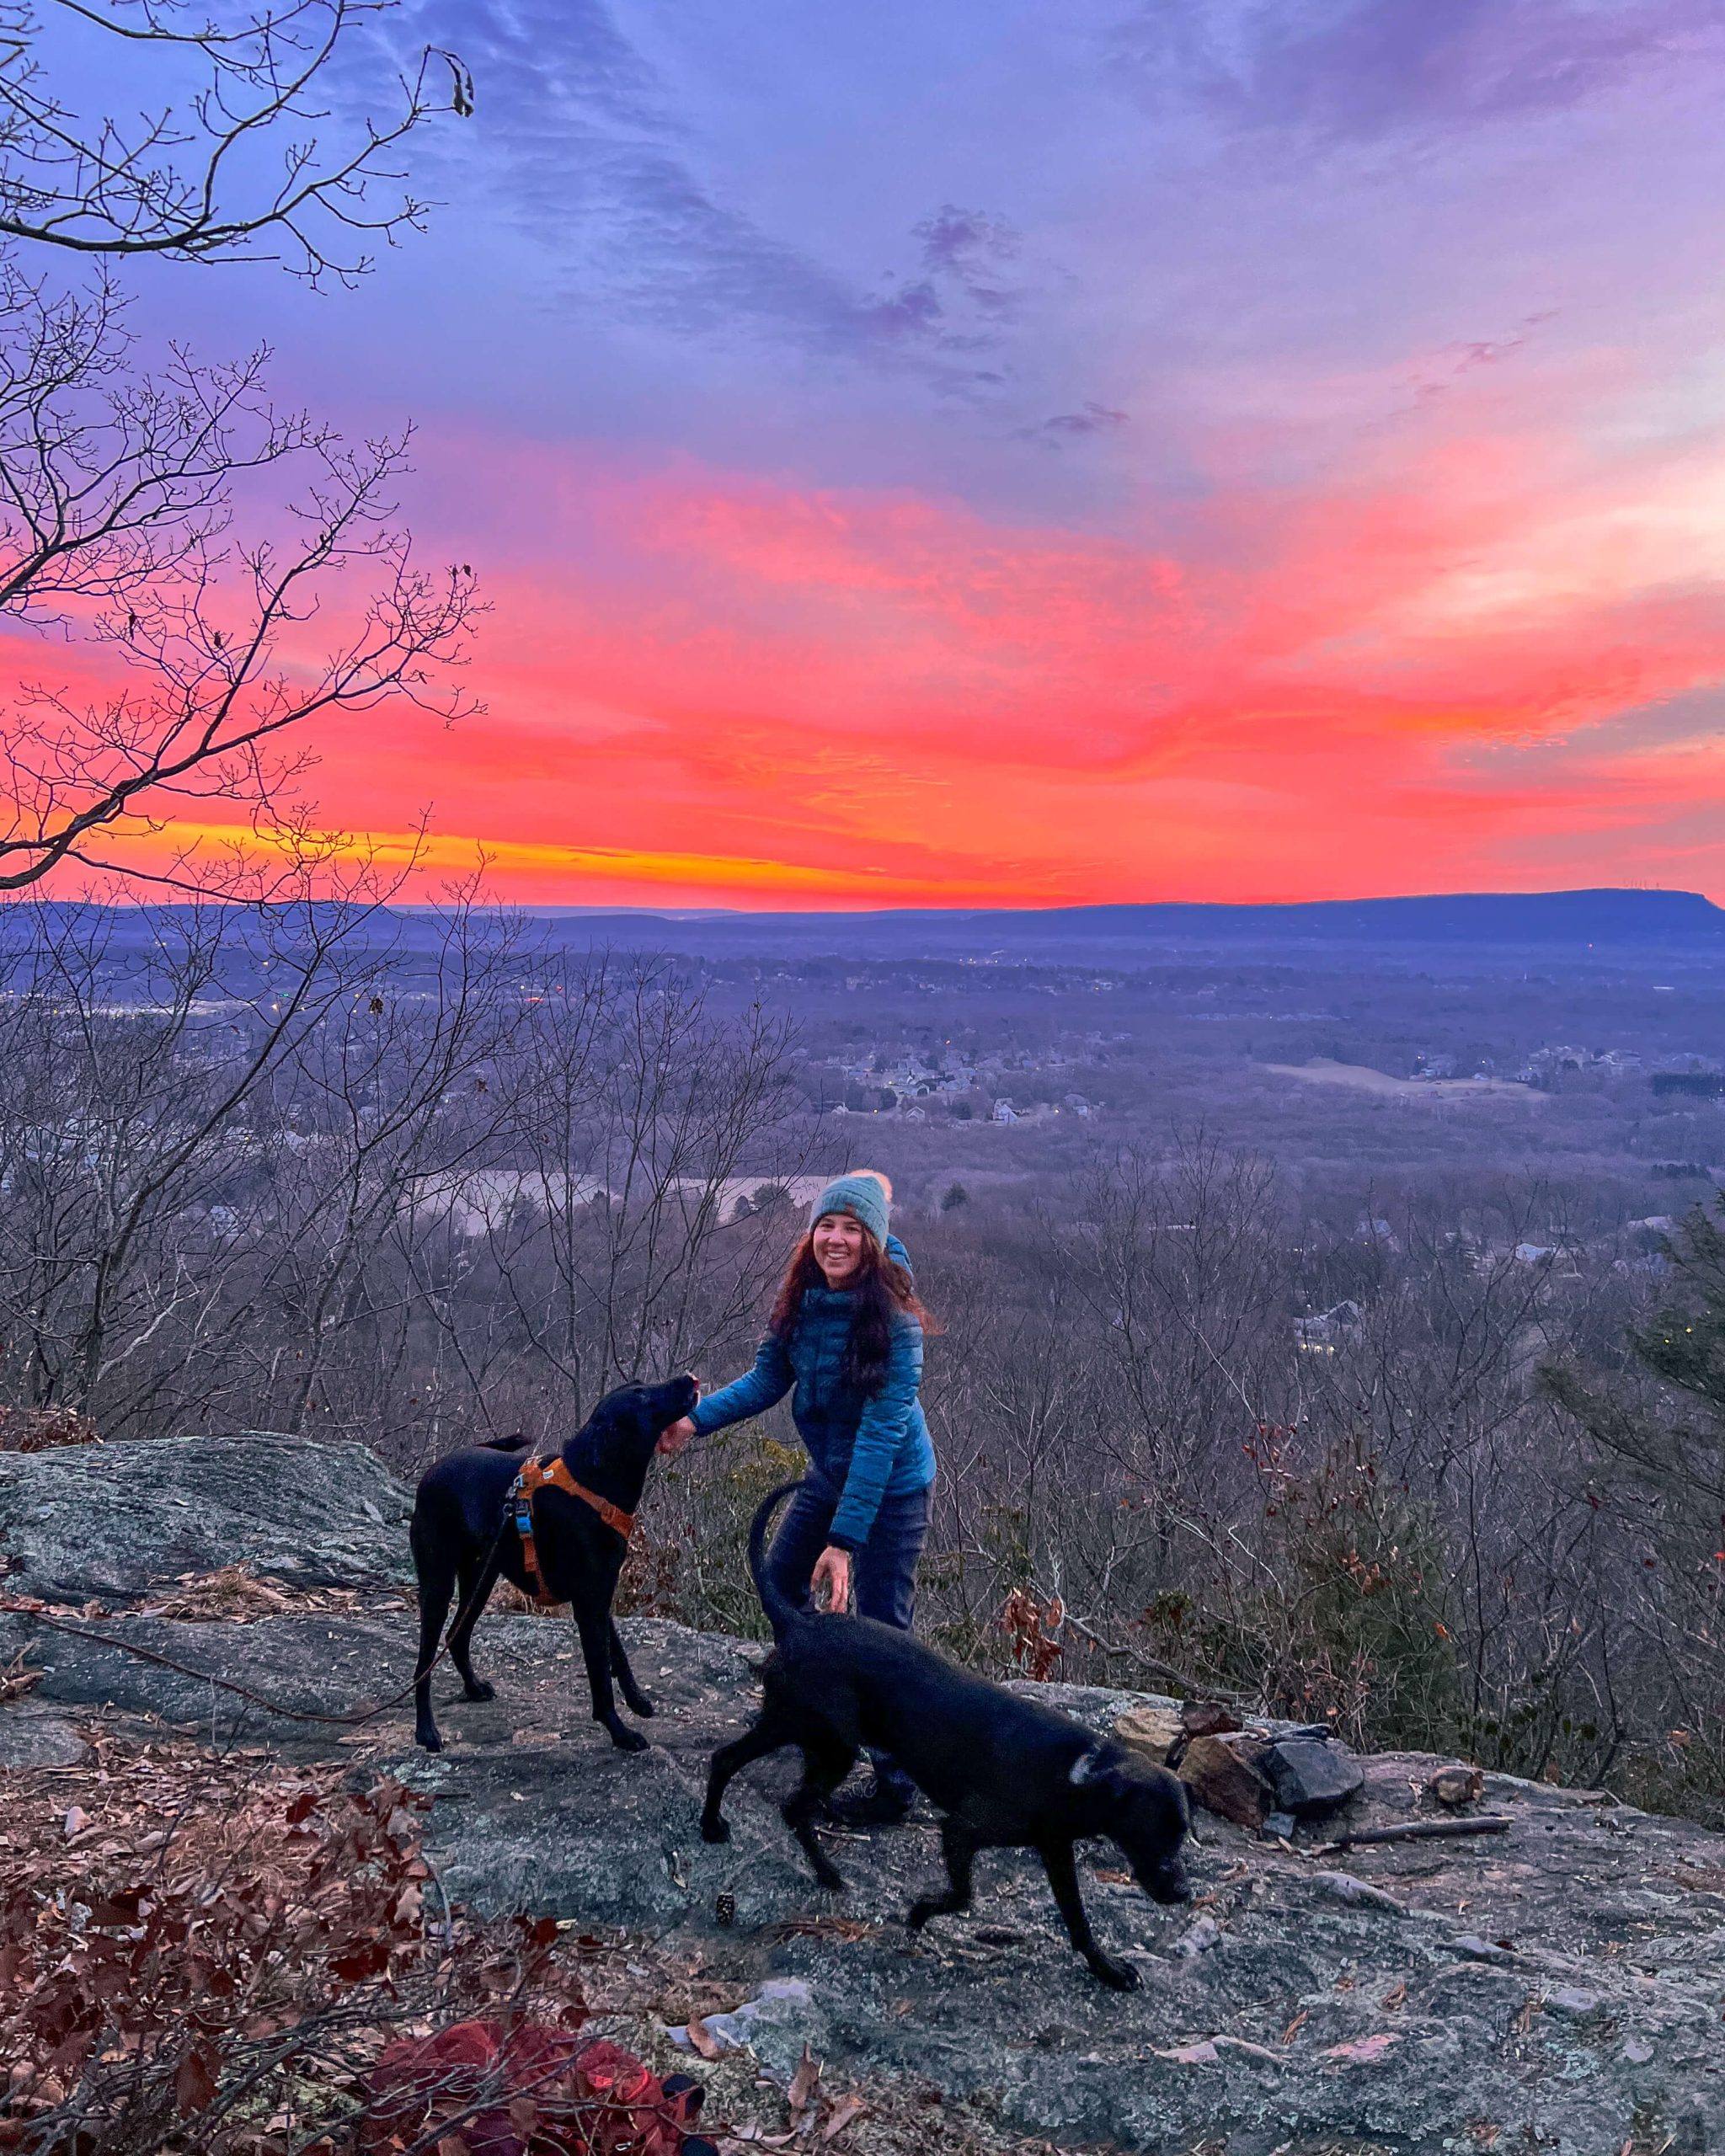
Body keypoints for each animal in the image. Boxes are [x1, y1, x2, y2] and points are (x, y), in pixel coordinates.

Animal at [407, 1380, 698, 1750]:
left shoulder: (600, 1594)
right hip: (439, 1585)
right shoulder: (589, 1603)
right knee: (424, 1664)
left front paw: (636, 1699)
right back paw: (426, 1730)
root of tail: (434, 1469)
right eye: (642, 1396)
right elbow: (600, 1678)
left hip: (480, 1581)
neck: (593, 1481)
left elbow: (617, 1654)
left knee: (456, 1637)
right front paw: (620, 1732)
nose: (689, 1379)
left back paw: (473, 1688)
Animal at [694, 1483, 1190, 1983]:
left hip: (821, 1744)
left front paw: (1107, 1969)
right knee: (735, 1766)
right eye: (1155, 1831)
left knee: (790, 1803)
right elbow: (962, 1895)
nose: (1184, 1893)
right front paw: (919, 1913)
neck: (1077, 1773)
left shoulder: (1055, 1849)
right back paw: (716, 1828)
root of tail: (798, 1622)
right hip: (817, 1737)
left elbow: (1077, 1919)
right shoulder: (961, 1830)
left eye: (1182, 1833)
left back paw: (823, 1870)